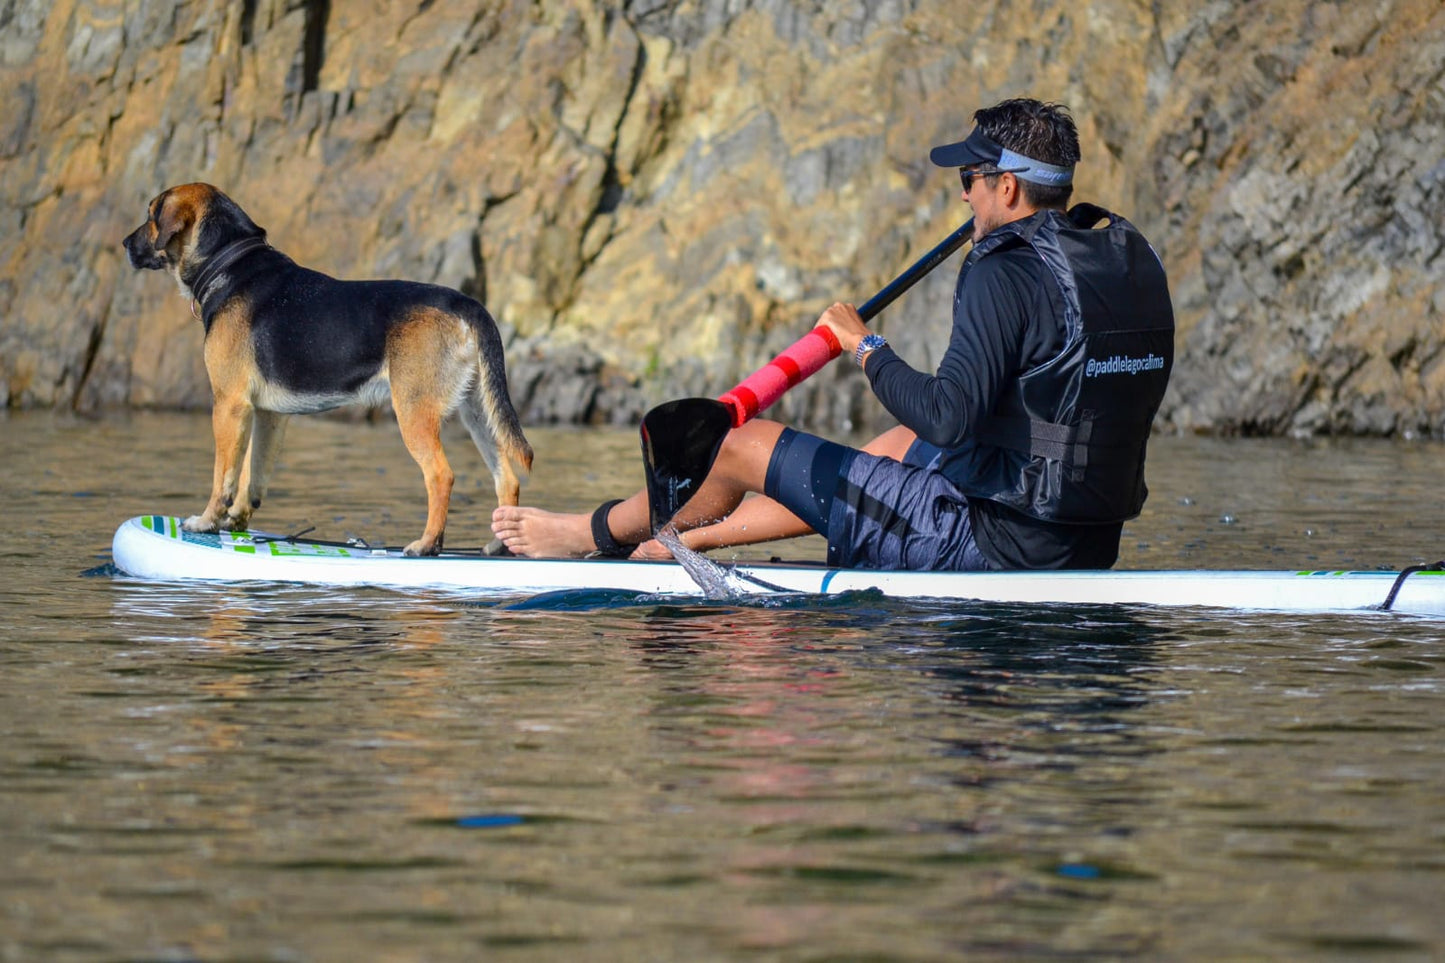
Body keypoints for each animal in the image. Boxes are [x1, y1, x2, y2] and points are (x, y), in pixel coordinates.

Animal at [121, 183, 534, 555]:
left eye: (151, 214)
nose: (124, 243)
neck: (230, 263)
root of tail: (467, 304)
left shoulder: (228, 405)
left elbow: (223, 476)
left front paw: (206, 522)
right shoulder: (268, 415)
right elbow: (253, 476)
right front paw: (235, 522)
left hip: (415, 413)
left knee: (441, 475)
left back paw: (427, 544)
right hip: (477, 412)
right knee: (507, 477)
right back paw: (501, 545)